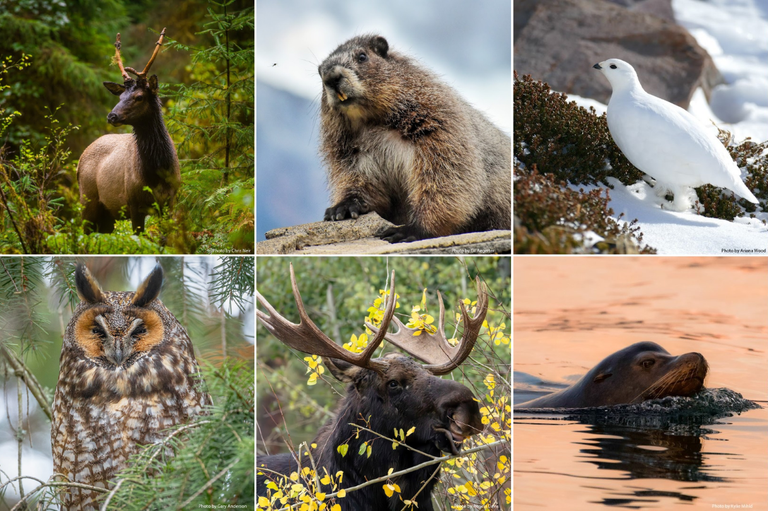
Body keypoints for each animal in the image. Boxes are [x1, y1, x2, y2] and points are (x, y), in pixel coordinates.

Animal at [77, 28, 180, 234]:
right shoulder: (133, 202)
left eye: (139, 97)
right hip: (87, 200)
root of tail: (78, 161)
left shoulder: (171, 200)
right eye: (120, 96)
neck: (157, 172)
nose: (112, 116)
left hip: (107, 215)